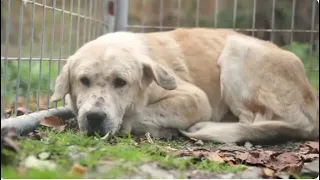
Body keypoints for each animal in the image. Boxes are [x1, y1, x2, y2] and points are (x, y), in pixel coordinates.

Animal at [50, 27, 318, 143]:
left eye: (121, 82)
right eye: (83, 81)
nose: (95, 117)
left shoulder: (196, 99)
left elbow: (137, 115)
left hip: (237, 49)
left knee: (258, 122)